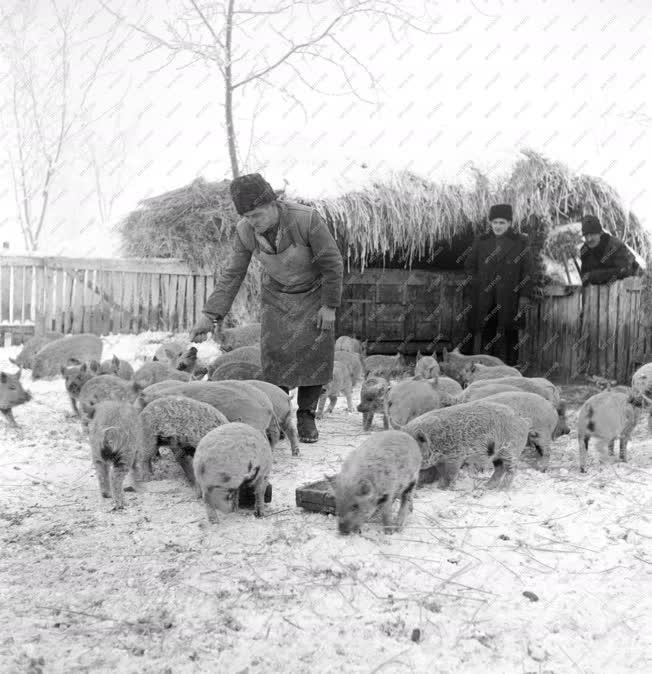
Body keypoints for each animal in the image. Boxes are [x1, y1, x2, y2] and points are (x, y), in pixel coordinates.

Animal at [404, 400, 532, 488]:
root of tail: (524, 421)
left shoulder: (455, 456)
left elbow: (450, 473)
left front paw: (441, 487)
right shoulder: (441, 460)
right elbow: (442, 472)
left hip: (510, 449)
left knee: (512, 468)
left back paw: (502, 489)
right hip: (497, 454)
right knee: (500, 468)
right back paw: (487, 486)